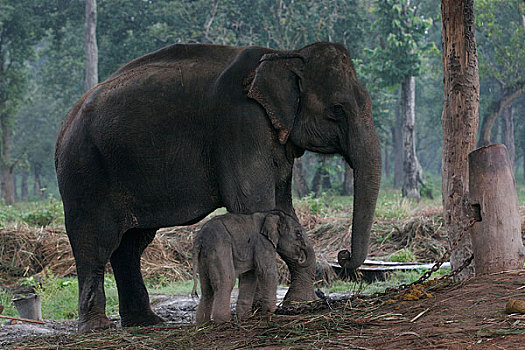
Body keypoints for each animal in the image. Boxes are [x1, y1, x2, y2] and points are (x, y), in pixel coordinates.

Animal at [54, 41, 380, 330]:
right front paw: (266, 309)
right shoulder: (241, 128)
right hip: (84, 172)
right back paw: (97, 327)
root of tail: (65, 124)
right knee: (95, 244)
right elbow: (254, 204)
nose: (343, 256)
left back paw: (145, 322)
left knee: (131, 245)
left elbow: (282, 208)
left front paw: (299, 303)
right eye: (337, 109)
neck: (285, 54)